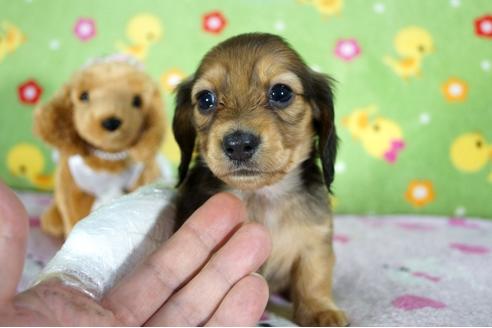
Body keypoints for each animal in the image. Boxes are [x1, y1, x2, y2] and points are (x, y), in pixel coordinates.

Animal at [172, 33, 346, 326]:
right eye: (205, 99)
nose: (238, 144)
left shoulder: (314, 240)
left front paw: (320, 310)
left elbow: (314, 277)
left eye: (281, 93)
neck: (263, 196)